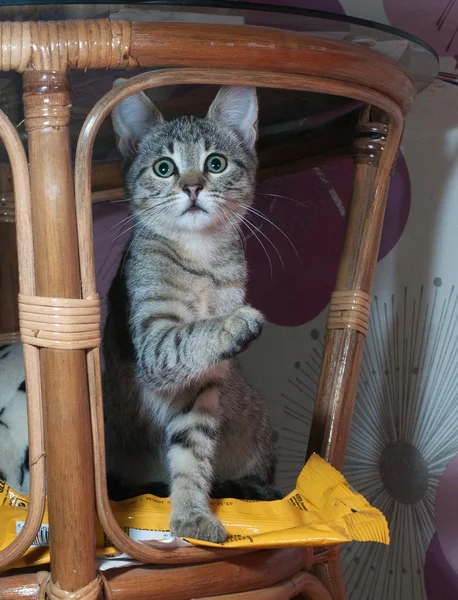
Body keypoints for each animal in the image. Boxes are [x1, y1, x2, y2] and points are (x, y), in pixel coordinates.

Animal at [103, 81, 276, 544]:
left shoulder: (202, 387)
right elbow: (188, 335)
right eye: (164, 168)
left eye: (215, 163)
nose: (194, 187)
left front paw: (193, 513)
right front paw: (235, 322)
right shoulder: (153, 342)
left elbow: (192, 452)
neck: (201, 260)